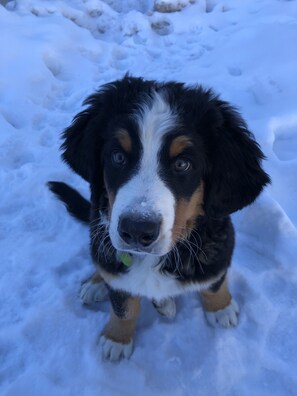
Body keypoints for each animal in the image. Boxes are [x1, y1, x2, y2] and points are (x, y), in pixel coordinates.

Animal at [49, 75, 270, 362]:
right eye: (118, 157)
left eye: (183, 164)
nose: (136, 229)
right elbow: (123, 305)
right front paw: (117, 338)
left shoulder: (220, 248)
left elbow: (214, 281)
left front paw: (220, 308)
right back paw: (97, 284)